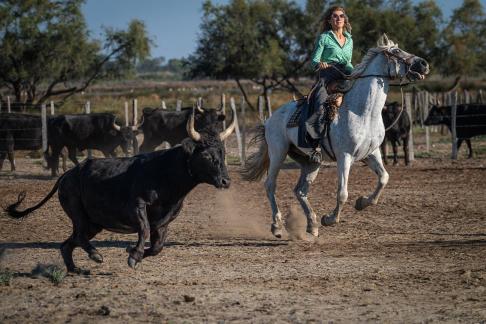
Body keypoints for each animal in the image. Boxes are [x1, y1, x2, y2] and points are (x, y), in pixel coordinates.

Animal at [5, 110, 237, 272]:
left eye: (223, 153)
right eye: (206, 155)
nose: (225, 181)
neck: (167, 173)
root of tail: (68, 174)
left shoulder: (164, 220)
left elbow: (158, 246)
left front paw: (134, 252)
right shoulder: (137, 206)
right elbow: (144, 229)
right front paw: (133, 255)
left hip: (93, 223)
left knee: (67, 244)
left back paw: (75, 269)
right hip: (78, 213)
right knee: (78, 237)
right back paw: (95, 255)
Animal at [242, 34, 430, 238]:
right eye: (396, 51)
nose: (423, 64)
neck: (362, 112)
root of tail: (271, 118)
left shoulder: (372, 153)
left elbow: (384, 178)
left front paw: (362, 202)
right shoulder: (344, 157)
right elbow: (342, 193)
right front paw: (330, 219)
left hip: (310, 162)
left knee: (300, 191)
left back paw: (312, 225)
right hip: (278, 153)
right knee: (270, 185)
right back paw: (277, 226)